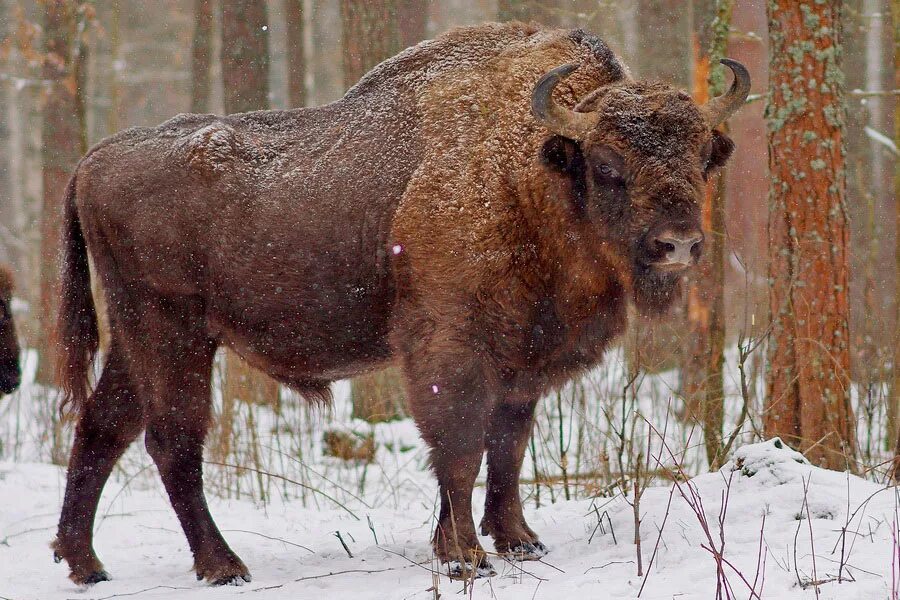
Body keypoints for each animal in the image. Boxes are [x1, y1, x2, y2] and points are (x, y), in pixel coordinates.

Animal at [52, 21, 748, 584]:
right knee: (172, 441)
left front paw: (518, 540)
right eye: (606, 165)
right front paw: (464, 556)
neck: (527, 171)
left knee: (102, 427)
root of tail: (90, 161)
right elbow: (461, 447)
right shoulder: (451, 348)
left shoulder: (524, 358)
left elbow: (509, 444)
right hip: (174, 336)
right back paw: (223, 567)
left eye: (702, 159)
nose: (678, 244)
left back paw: (84, 563)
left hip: (139, 341)